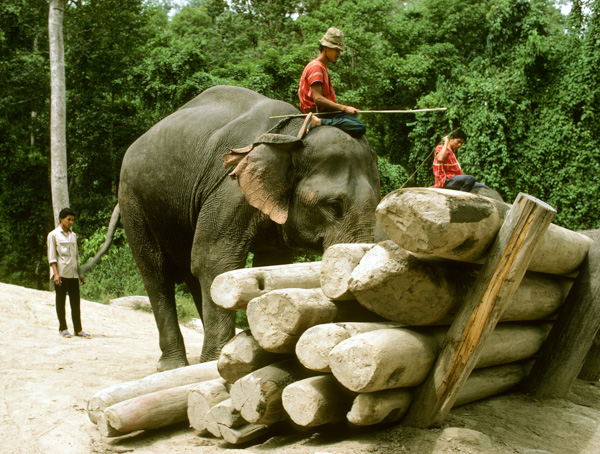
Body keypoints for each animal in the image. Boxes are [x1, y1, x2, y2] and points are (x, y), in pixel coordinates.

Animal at [116, 86, 380, 372]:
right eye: (333, 206)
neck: (293, 136)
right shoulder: (230, 188)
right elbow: (214, 261)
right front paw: (218, 363)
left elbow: (270, 265)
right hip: (133, 202)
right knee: (157, 274)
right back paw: (173, 367)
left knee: (190, 273)